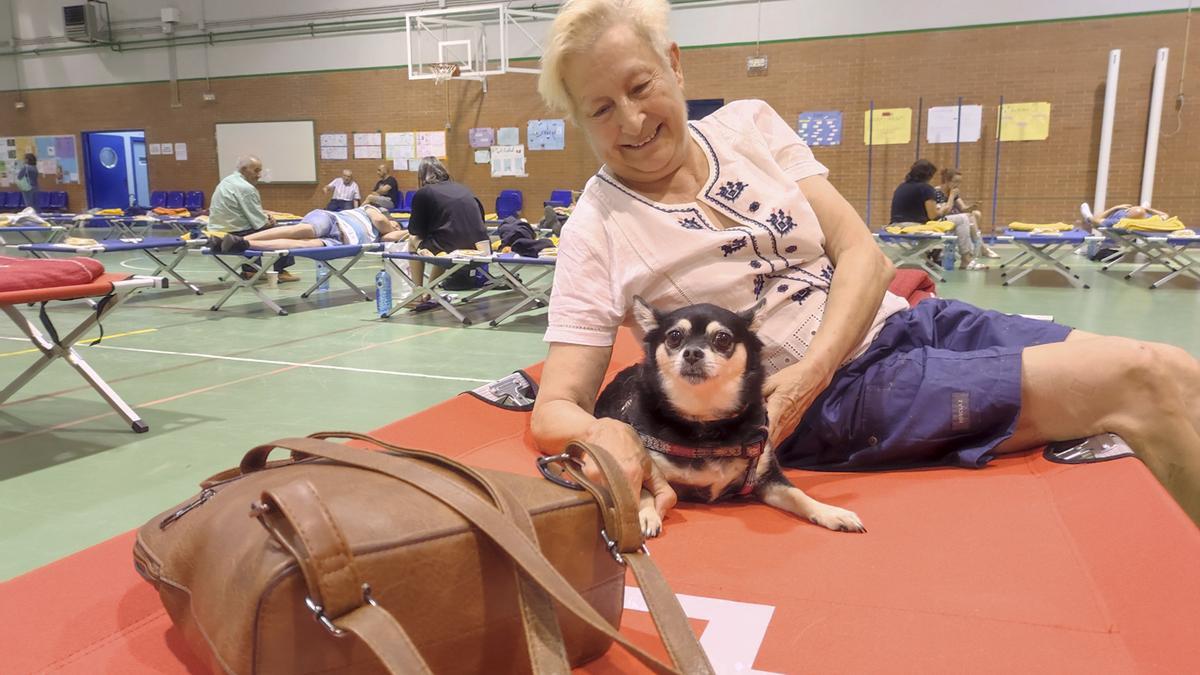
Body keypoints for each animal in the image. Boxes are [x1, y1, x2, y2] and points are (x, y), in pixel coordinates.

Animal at [597, 295, 864, 535]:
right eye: (674, 337)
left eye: (722, 338)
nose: (692, 352)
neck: (705, 421)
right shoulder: (648, 466)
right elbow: (644, 490)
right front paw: (646, 514)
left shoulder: (766, 477)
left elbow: (797, 494)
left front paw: (831, 512)